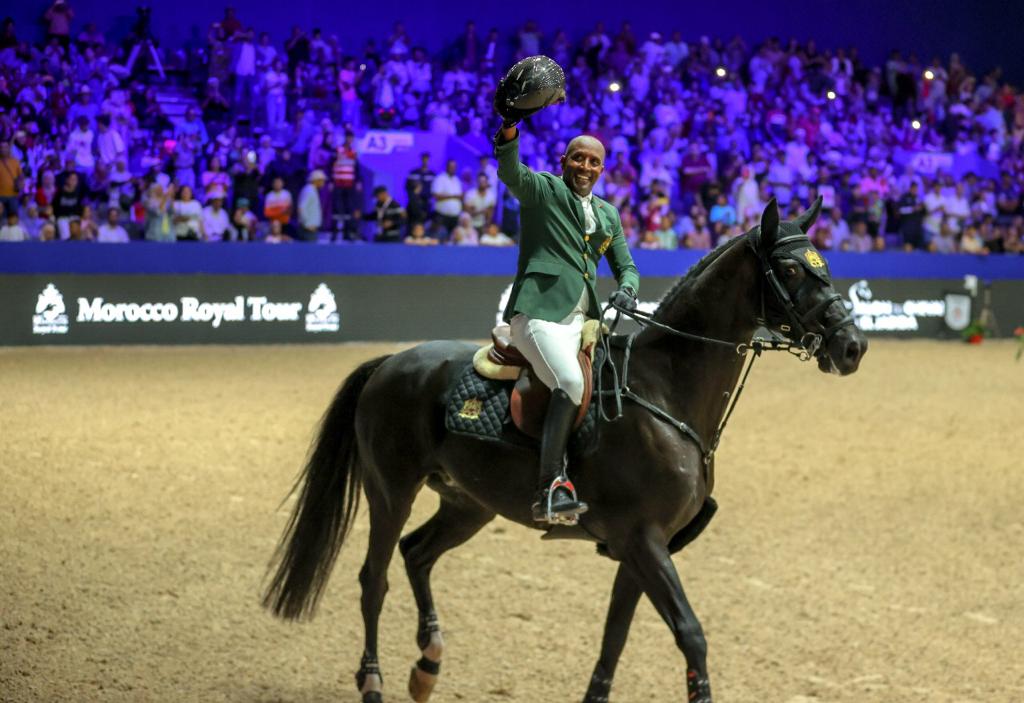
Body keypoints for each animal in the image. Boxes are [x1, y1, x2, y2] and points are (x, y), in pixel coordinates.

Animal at [262, 199, 864, 703]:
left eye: (824, 263)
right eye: (790, 270)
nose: (852, 346)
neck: (663, 392)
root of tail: (390, 362)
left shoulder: (641, 546)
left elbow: (613, 640)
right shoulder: (643, 541)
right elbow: (691, 636)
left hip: (468, 503)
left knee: (417, 554)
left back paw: (427, 666)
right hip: (391, 490)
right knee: (375, 578)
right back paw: (373, 681)